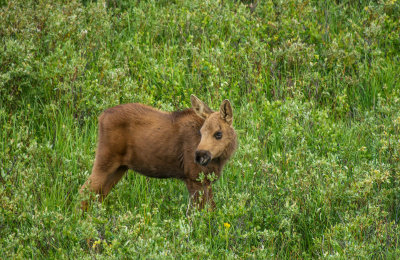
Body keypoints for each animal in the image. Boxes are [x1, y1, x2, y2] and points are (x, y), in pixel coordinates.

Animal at [81, 95, 238, 209]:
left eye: (218, 134)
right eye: (201, 132)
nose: (200, 156)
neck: (219, 160)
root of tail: (100, 117)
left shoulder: (206, 180)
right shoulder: (194, 177)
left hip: (120, 167)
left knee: (98, 195)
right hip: (105, 160)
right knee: (84, 192)